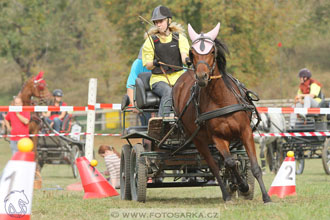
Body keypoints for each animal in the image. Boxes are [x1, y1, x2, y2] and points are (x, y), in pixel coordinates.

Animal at [173, 23, 270, 203]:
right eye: (192, 53)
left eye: (212, 51)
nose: (202, 77)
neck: (221, 100)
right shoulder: (217, 138)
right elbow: (230, 163)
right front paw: (243, 186)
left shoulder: (245, 132)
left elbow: (253, 165)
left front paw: (265, 196)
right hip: (198, 139)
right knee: (214, 166)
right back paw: (227, 194)